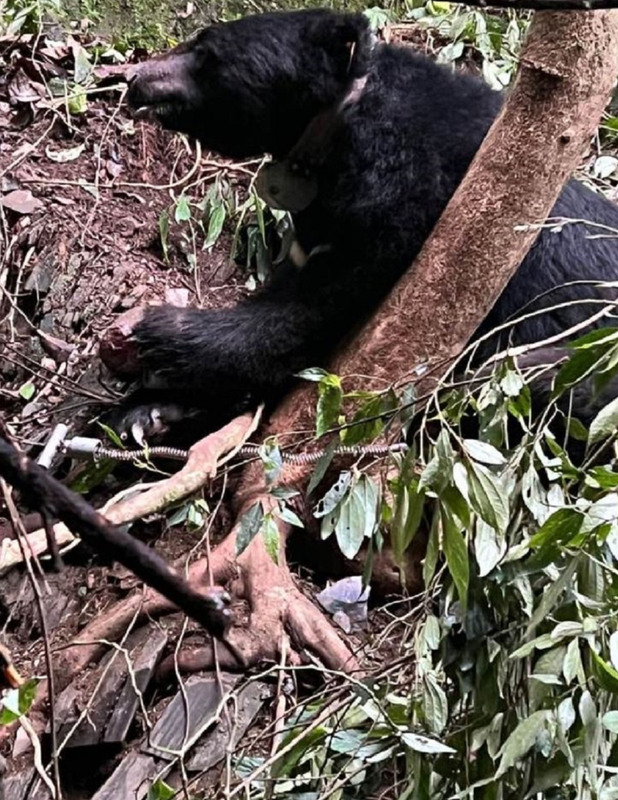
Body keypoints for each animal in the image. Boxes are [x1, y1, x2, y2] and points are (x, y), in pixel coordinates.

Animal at [113, 9, 618, 443]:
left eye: (206, 51)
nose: (134, 78)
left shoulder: (409, 202)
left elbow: (315, 311)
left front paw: (160, 332)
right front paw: (146, 411)